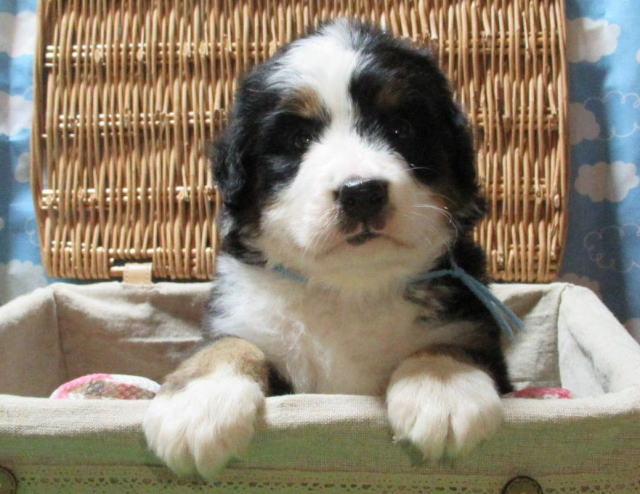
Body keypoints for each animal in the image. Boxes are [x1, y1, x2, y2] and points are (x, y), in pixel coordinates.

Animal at [143, 19, 512, 480]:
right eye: (299, 138)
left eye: (401, 130)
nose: (361, 193)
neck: (350, 289)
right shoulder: (242, 317)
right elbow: (227, 345)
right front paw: (198, 409)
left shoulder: (473, 325)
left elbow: (451, 346)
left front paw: (443, 392)